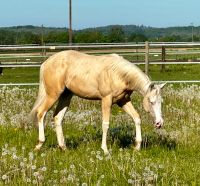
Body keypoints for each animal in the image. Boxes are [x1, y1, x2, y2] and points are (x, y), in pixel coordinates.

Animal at [30, 49, 166, 154]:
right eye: (151, 102)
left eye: (161, 102)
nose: (159, 123)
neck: (118, 73)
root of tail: (46, 63)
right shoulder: (106, 100)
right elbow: (105, 124)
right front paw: (105, 150)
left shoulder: (123, 100)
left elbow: (136, 118)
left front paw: (137, 147)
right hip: (53, 95)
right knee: (41, 113)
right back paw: (39, 144)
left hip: (66, 96)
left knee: (58, 117)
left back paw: (64, 148)